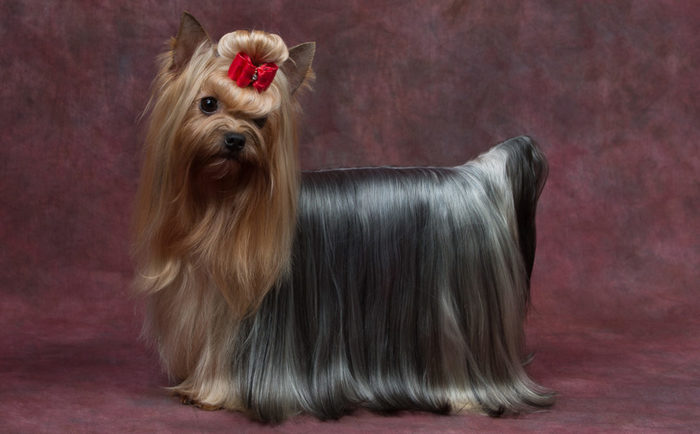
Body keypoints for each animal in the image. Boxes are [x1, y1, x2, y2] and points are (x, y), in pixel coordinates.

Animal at [134, 12, 556, 420]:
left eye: (262, 121)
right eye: (208, 104)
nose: (235, 139)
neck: (223, 203)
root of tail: (474, 177)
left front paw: (214, 393)